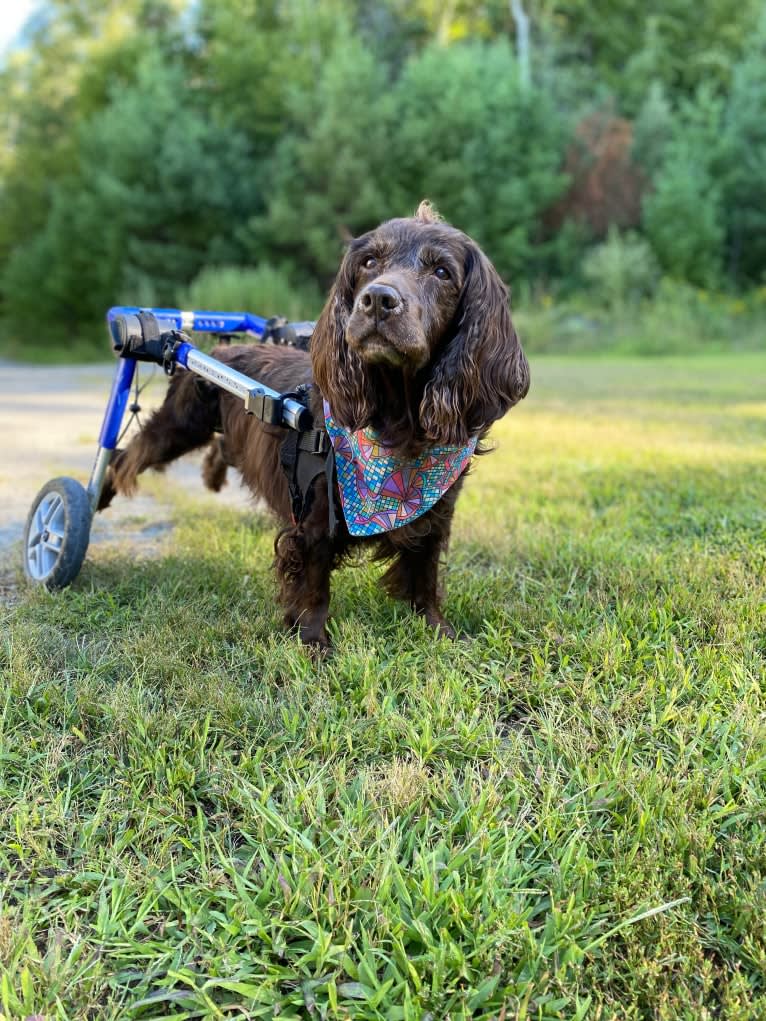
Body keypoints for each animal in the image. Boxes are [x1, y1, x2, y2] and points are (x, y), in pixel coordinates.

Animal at [99, 204, 531, 645]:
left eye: (442, 272)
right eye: (369, 262)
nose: (378, 300)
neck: (396, 426)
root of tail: (220, 348)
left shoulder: (436, 510)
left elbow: (424, 575)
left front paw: (438, 631)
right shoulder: (313, 515)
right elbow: (313, 585)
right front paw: (313, 642)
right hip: (180, 423)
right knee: (127, 453)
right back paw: (100, 494)